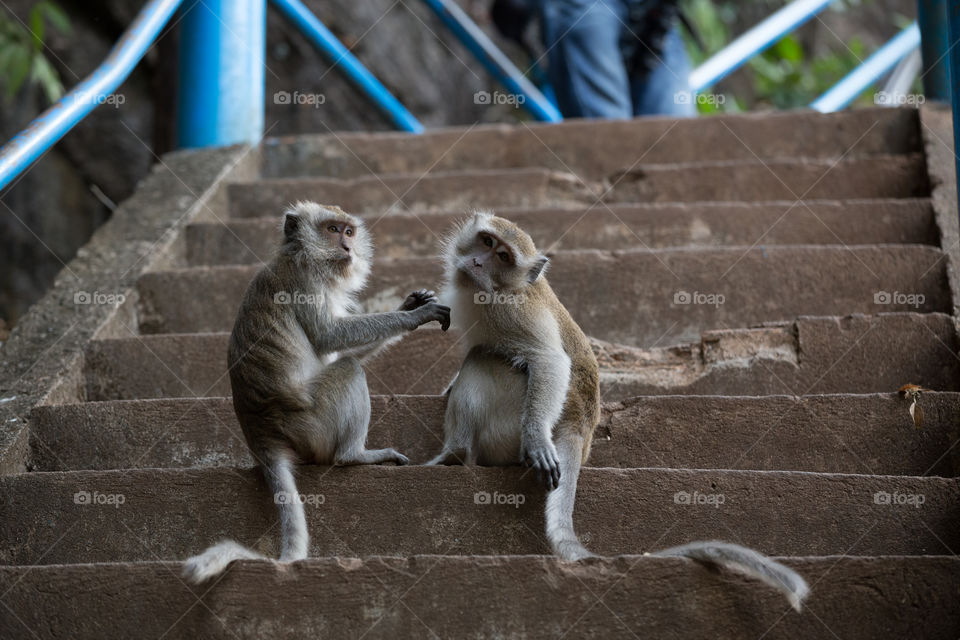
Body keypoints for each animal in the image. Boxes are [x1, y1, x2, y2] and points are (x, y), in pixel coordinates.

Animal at [182, 202, 452, 584]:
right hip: (311, 423)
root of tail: (261, 436)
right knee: (349, 371)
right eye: (332, 229)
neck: (300, 255)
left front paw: (409, 303)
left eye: (349, 231)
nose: (348, 246)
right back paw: (353, 456)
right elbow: (329, 337)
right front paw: (417, 314)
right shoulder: (305, 283)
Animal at [428, 212, 808, 612]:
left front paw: (536, 438)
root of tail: (580, 427)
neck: (495, 290)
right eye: (486, 242)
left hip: (509, 414)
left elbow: (549, 362)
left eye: (503, 257)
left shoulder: (514, 312)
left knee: (481, 359)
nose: (477, 262)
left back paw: (455, 455)